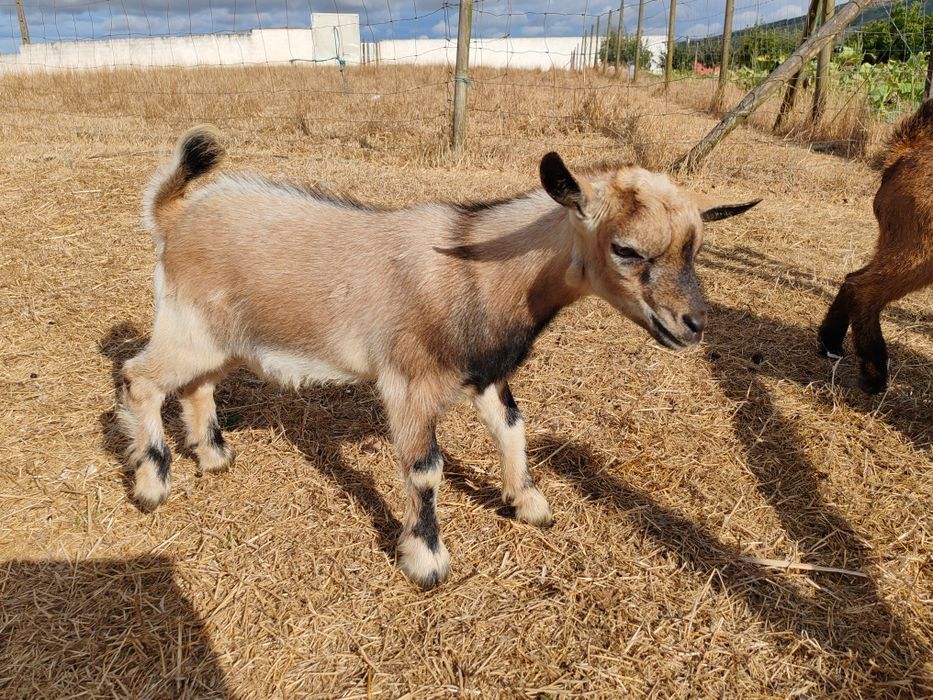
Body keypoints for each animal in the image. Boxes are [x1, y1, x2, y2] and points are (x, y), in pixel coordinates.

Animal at [120, 126, 759, 588]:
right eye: (625, 249)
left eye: (696, 248)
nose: (693, 326)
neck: (478, 271)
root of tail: (175, 216)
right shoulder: (410, 381)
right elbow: (426, 469)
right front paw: (426, 559)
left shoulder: (485, 371)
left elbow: (513, 428)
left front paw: (528, 502)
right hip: (188, 326)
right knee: (139, 378)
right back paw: (153, 483)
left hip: (224, 338)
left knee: (197, 384)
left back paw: (213, 456)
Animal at [818, 99, 933, 393]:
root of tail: (906, 153)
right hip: (919, 252)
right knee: (863, 288)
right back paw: (874, 372)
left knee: (853, 278)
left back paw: (830, 342)